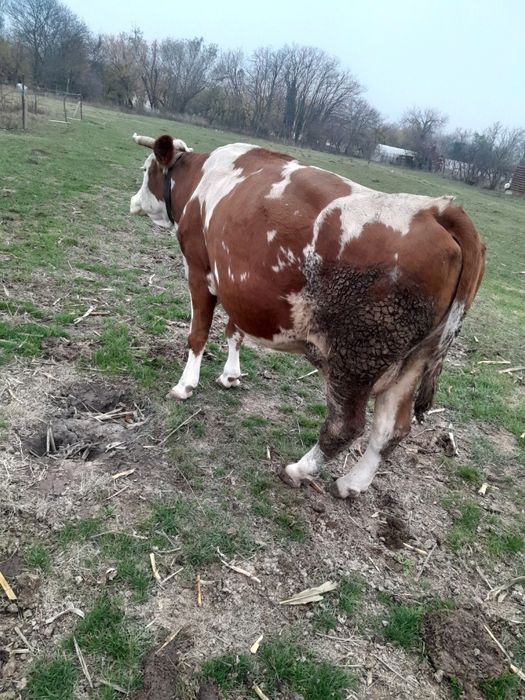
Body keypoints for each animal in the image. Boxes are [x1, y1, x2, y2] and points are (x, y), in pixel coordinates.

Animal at [130, 133, 485, 499]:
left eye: (145, 170)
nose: (133, 202)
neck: (203, 178)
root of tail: (435, 210)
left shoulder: (199, 270)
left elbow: (198, 334)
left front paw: (185, 385)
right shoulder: (237, 285)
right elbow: (235, 331)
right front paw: (230, 376)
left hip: (356, 357)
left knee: (346, 426)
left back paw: (299, 470)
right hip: (413, 360)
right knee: (391, 430)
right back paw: (351, 484)